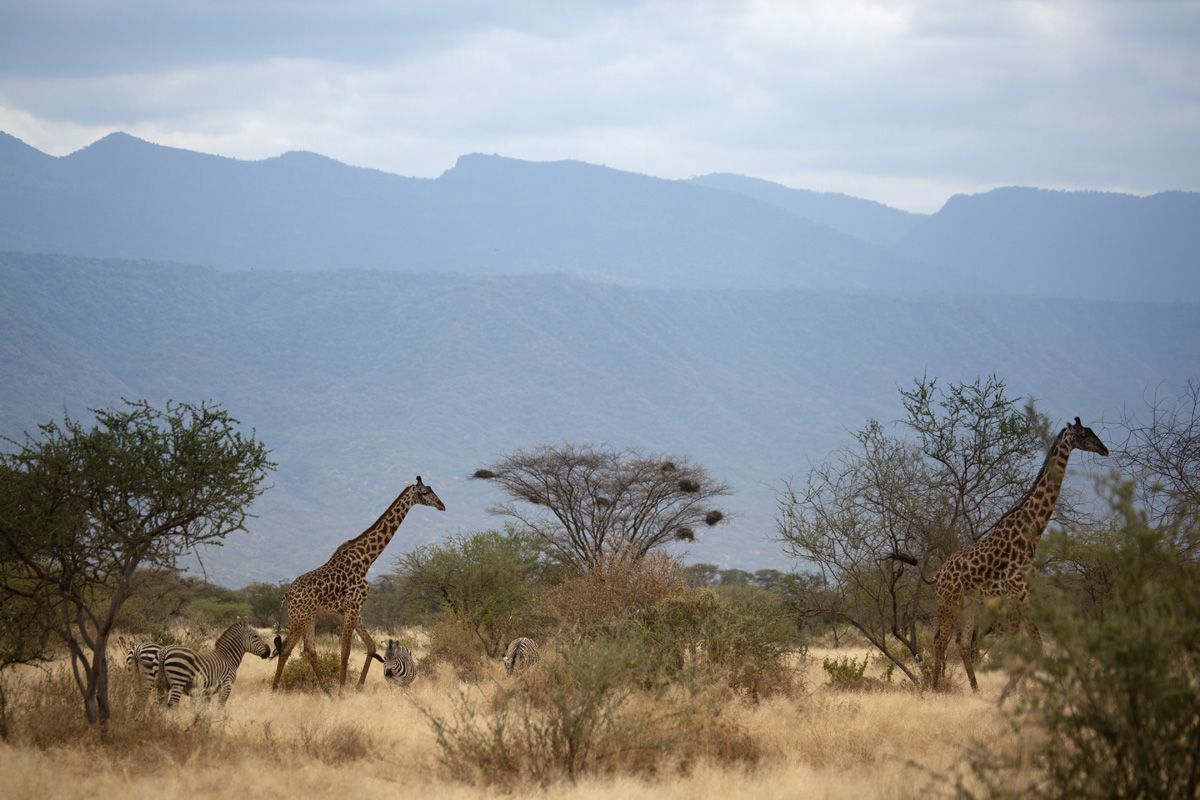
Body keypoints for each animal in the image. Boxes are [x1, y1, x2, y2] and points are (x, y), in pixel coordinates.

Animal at [271, 476, 445, 694]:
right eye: (424, 492)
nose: (442, 505)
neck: (364, 561)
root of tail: (286, 594)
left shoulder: (351, 608)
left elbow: (371, 646)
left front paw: (358, 687)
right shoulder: (353, 606)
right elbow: (345, 650)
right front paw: (342, 691)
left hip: (309, 616)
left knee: (309, 651)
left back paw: (326, 692)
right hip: (299, 617)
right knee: (286, 648)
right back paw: (275, 691)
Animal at [892, 417, 1108, 692]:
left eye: (1092, 432)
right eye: (1083, 435)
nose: (1104, 449)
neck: (1033, 531)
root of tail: (938, 574)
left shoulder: (1027, 592)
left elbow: (1037, 643)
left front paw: (1021, 688)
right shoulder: (1014, 591)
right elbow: (1015, 643)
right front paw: (1012, 689)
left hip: (969, 603)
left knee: (962, 642)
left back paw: (975, 689)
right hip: (948, 601)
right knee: (940, 639)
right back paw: (936, 687)